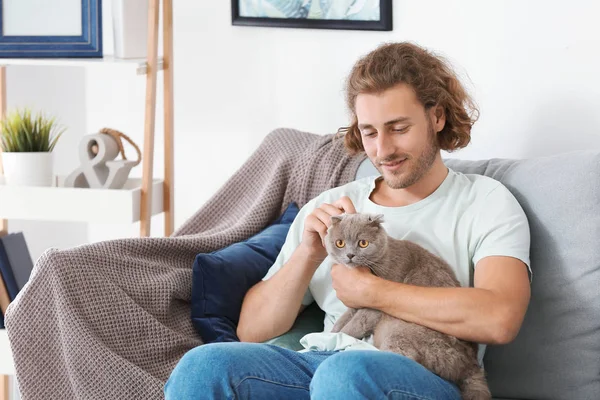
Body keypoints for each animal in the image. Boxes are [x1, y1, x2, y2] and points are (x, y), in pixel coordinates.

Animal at [326, 214, 490, 398]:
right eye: (340, 243)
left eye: (363, 243)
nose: (350, 255)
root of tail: (472, 364)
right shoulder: (354, 304)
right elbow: (343, 319)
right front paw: (331, 333)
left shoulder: (372, 307)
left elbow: (354, 325)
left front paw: (337, 337)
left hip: (400, 332)